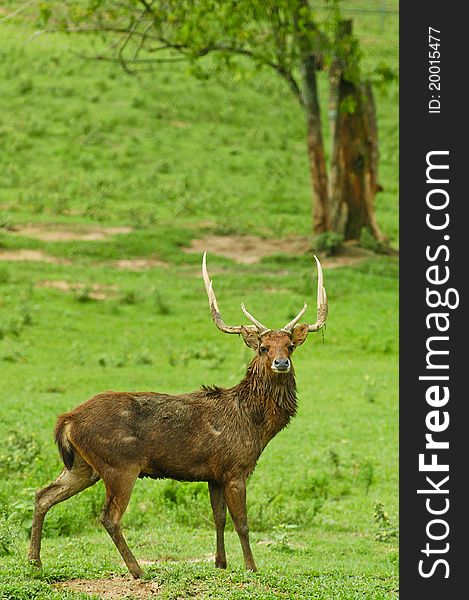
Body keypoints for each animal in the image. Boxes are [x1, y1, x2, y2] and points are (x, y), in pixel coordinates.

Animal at [29, 252, 328, 576]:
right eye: (263, 347)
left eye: (290, 346)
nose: (281, 362)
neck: (255, 425)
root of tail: (67, 420)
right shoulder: (235, 469)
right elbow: (243, 523)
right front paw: (251, 567)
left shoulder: (214, 474)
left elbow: (218, 518)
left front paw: (220, 563)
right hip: (119, 465)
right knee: (108, 516)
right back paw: (137, 569)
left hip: (82, 465)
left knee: (42, 494)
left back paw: (34, 561)